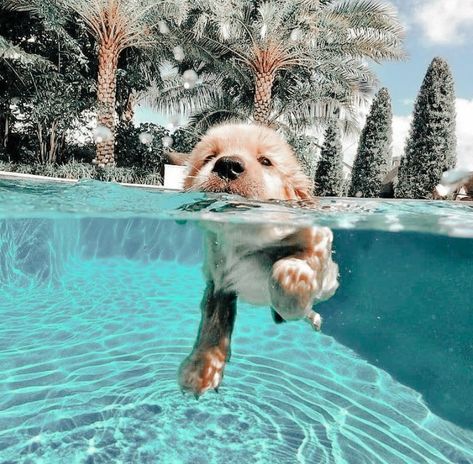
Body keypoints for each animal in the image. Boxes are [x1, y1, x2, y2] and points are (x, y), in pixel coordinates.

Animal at [171, 122, 338, 396]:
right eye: (209, 157)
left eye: (265, 161)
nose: (228, 164)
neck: (244, 238)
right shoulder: (218, 280)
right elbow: (213, 320)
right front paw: (201, 368)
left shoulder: (321, 242)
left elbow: (288, 269)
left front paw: (293, 290)